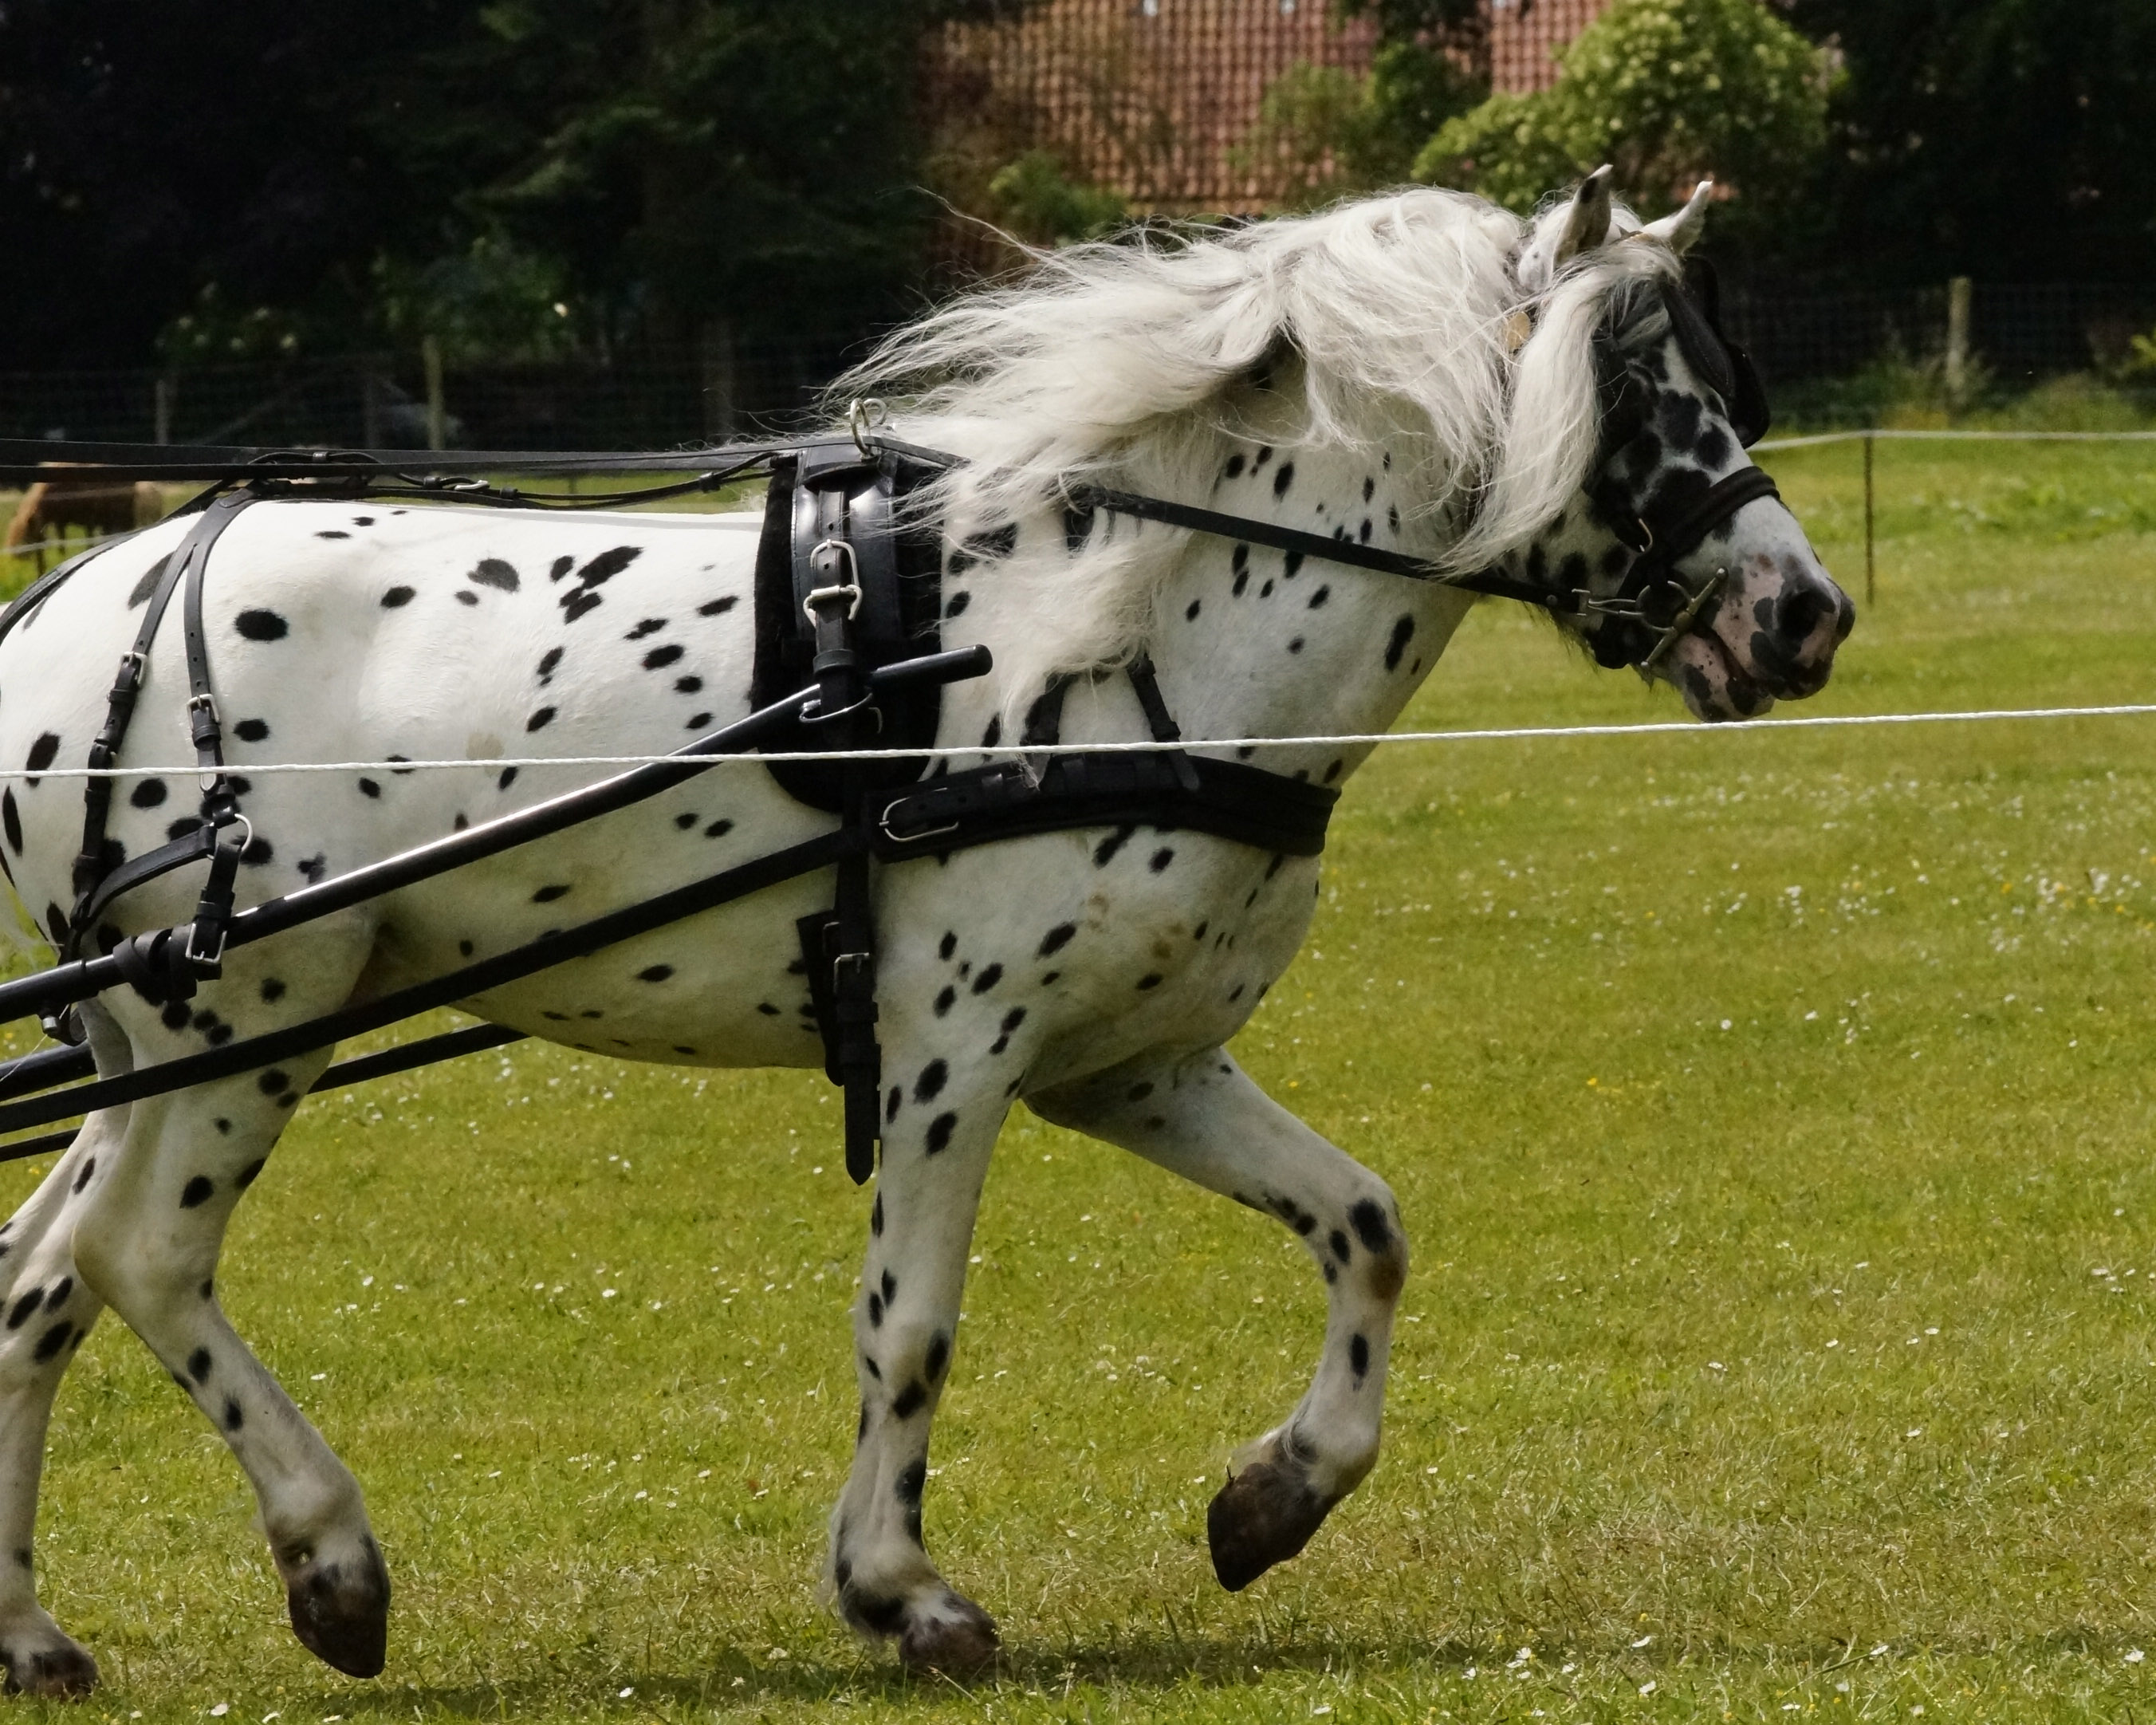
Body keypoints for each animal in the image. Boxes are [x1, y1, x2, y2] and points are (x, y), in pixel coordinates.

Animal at [0, 171, 1854, 1681]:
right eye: (1636, 397)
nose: (1804, 614)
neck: (1120, 636)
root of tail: (70, 598)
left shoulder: (1135, 1064)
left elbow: (1366, 1225)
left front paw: (1270, 1497)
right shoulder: (947, 1051)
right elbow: (911, 1326)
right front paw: (901, 1589)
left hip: (158, 1043)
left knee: (39, 1276)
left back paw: (34, 1631)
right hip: (245, 1023)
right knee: (140, 1258)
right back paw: (331, 1557)